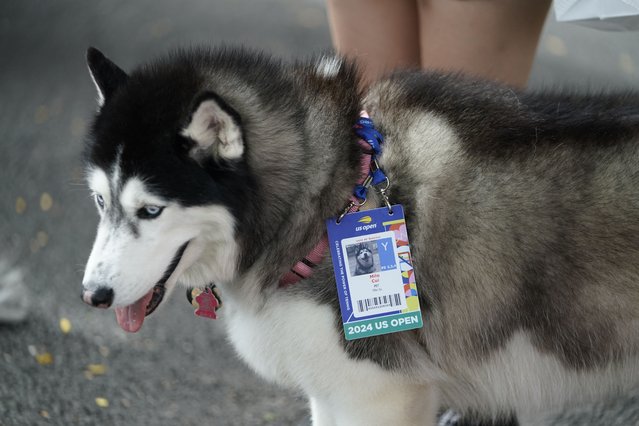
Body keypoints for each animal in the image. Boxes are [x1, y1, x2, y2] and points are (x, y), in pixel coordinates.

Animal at [82, 45, 639, 422]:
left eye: (150, 210)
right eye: (100, 201)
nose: (93, 295)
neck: (331, 195)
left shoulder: (378, 394)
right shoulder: (332, 390)